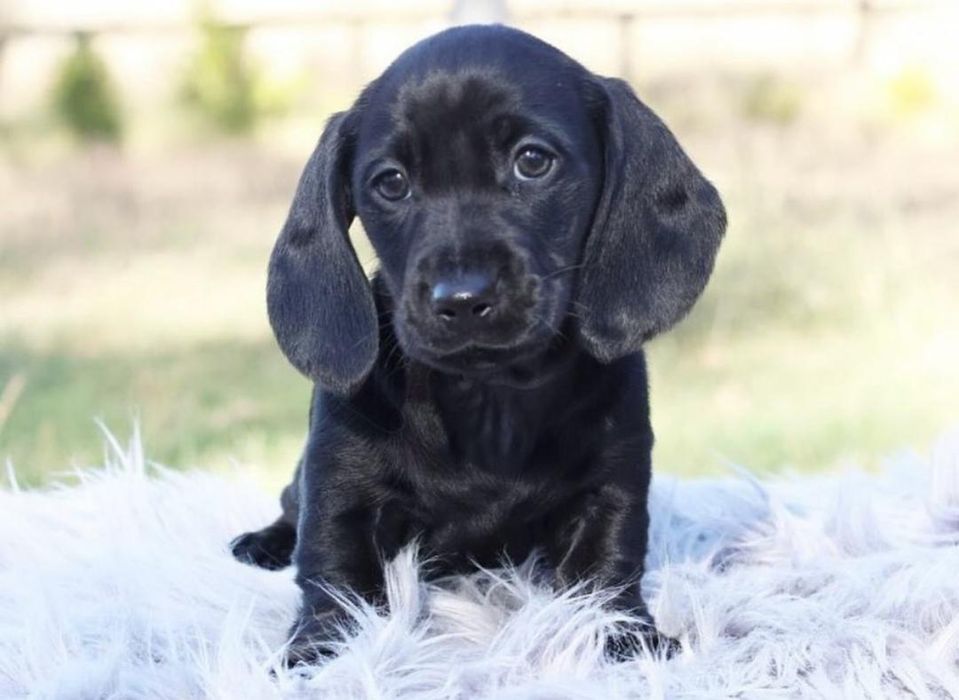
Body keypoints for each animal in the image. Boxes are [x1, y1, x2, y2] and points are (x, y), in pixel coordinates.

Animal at [231, 24, 725, 665]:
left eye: (532, 161)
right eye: (391, 182)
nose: (462, 298)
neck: (488, 398)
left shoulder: (611, 488)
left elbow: (607, 569)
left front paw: (625, 633)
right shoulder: (341, 488)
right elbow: (333, 572)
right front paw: (321, 650)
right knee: (290, 509)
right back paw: (263, 543)